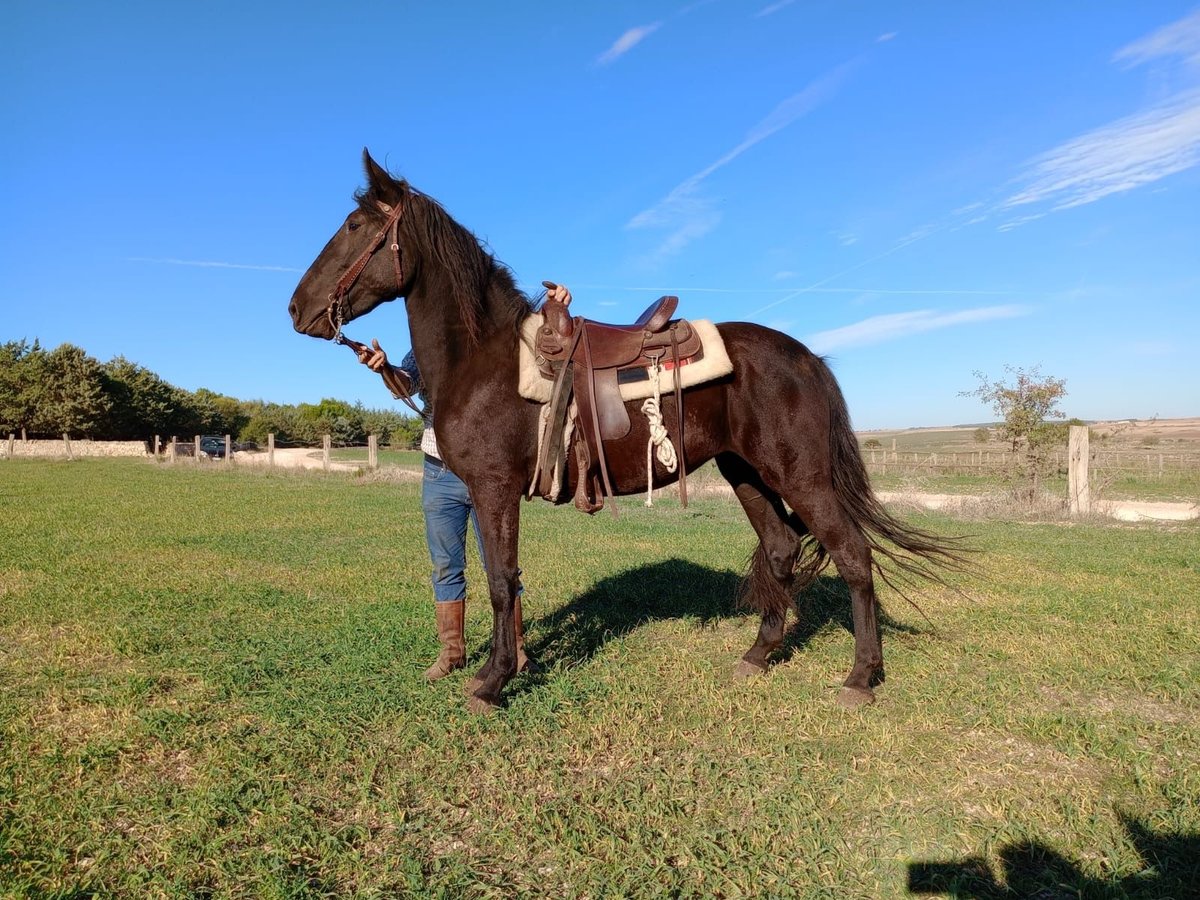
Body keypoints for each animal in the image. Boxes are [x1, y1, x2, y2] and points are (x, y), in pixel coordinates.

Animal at [285, 151, 960, 715]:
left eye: (354, 226)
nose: (296, 309)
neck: (484, 359)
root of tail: (806, 358)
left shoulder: (494, 488)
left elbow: (502, 584)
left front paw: (491, 682)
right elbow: (506, 583)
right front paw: (504, 668)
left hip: (803, 476)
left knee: (852, 555)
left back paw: (860, 678)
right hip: (746, 472)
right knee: (781, 549)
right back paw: (758, 655)